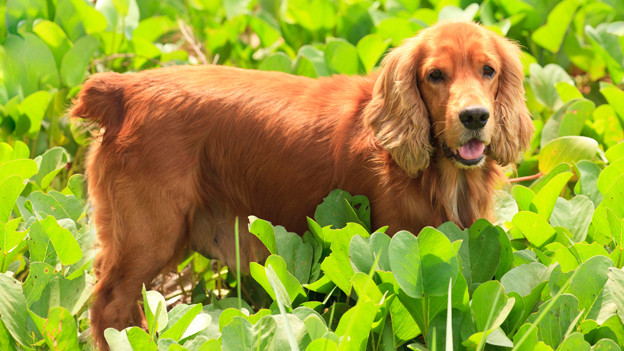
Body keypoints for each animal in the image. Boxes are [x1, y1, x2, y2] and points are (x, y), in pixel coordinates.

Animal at [72, 20, 532, 348]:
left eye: (488, 70)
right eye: (436, 75)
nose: (475, 116)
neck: (440, 173)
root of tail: (124, 87)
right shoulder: (393, 250)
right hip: (150, 235)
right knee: (109, 307)